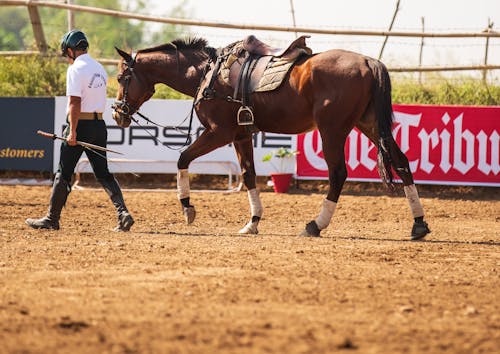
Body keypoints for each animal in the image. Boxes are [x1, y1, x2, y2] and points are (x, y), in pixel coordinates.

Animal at [112, 36, 430, 241]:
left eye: (120, 78)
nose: (117, 114)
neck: (208, 74)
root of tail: (367, 62)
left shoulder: (219, 132)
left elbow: (182, 158)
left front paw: (187, 207)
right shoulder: (241, 135)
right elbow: (249, 175)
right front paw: (252, 222)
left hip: (332, 130)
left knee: (338, 173)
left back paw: (315, 225)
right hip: (370, 126)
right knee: (401, 162)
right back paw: (418, 225)